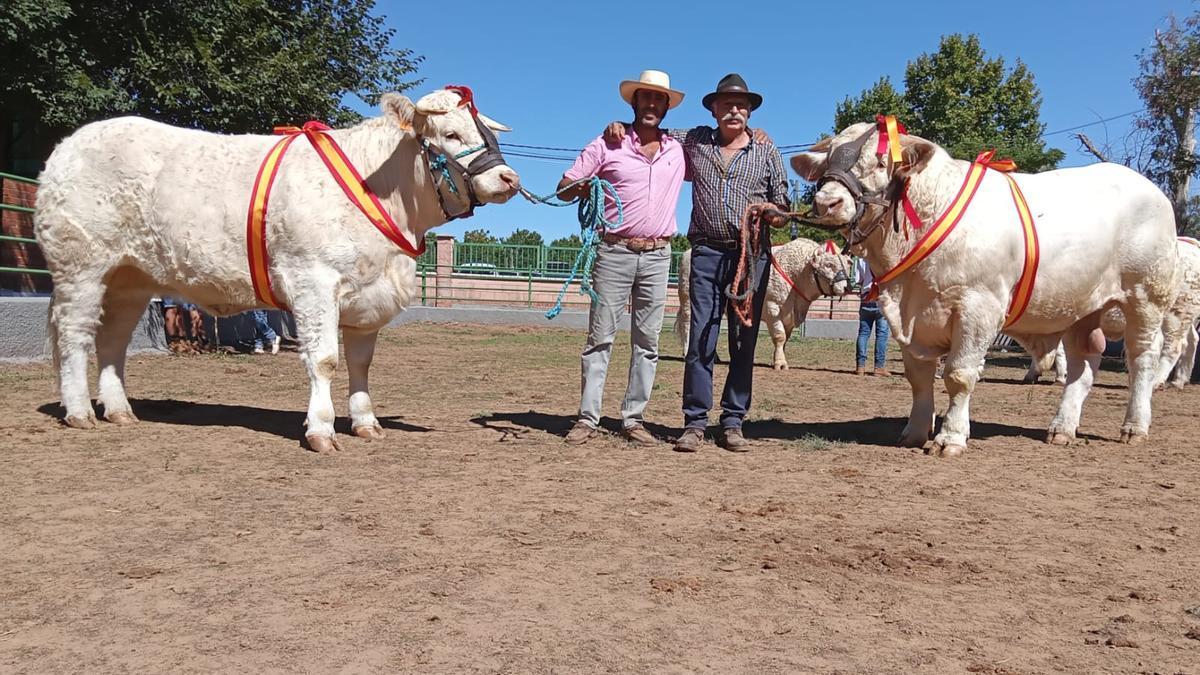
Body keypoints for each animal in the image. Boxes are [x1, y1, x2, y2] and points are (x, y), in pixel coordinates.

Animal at [36, 85, 516, 451]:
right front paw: (321, 430)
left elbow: (361, 363)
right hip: (81, 267)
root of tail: (68, 145)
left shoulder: (367, 295)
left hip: (131, 279)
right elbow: (325, 360)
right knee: (76, 335)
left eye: (486, 134)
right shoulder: (314, 281)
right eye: (451, 133)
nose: (509, 178)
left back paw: (119, 411)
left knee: (113, 340)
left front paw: (366, 423)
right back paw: (80, 412)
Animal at [676, 237, 854, 367]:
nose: (847, 287)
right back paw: (687, 353)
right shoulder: (772, 308)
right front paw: (780, 363)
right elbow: (780, 336)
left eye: (847, 264)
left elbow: (785, 338)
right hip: (689, 300)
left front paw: (778, 358)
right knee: (687, 325)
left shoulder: (789, 316)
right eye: (828, 264)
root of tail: (687, 252)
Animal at [792, 115, 1176, 454]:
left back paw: (1134, 426)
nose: (826, 202)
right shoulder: (910, 317)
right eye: (829, 159)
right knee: (1082, 366)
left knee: (1142, 358)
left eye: (881, 161)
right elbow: (918, 376)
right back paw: (1062, 429)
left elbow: (959, 375)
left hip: (1146, 298)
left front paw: (950, 437)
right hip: (1079, 308)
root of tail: (1149, 188)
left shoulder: (979, 307)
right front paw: (914, 432)